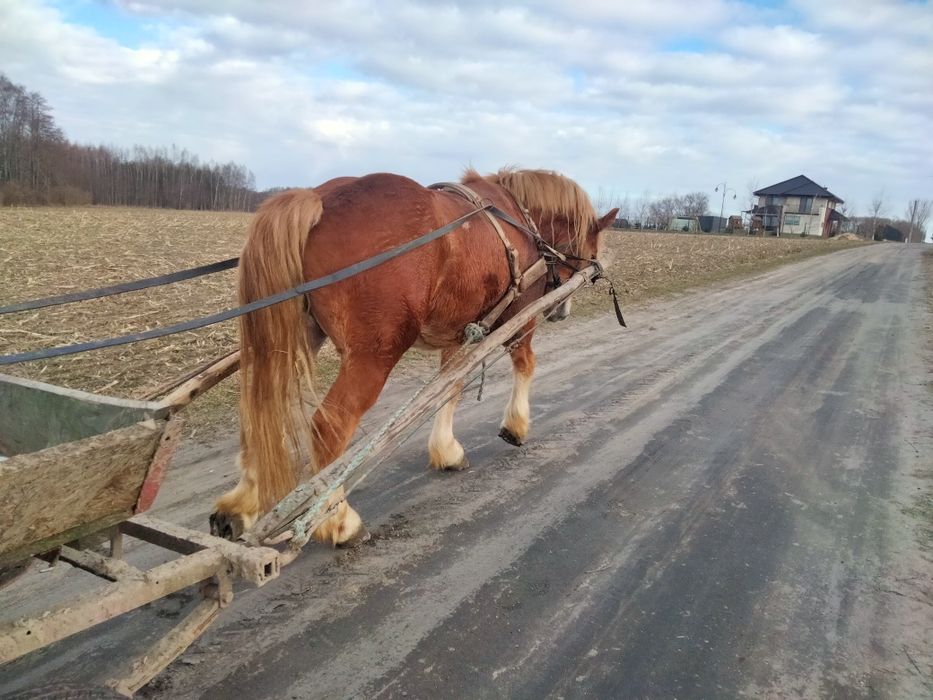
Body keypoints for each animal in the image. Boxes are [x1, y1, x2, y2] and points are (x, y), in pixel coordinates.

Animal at [212, 170, 620, 548]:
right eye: (592, 246)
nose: (561, 311)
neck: (521, 219)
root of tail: (318, 199)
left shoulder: (462, 328)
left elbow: (449, 387)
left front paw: (447, 451)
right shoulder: (519, 316)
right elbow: (526, 364)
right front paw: (515, 427)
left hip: (291, 337)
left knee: (259, 408)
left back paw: (238, 507)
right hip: (374, 355)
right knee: (329, 426)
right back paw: (340, 522)